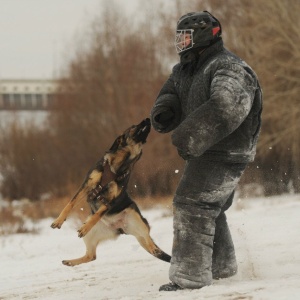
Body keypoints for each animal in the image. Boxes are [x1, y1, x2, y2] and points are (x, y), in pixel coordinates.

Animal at [50, 118, 170, 266]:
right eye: (133, 126)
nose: (148, 119)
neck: (117, 166)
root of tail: (121, 229)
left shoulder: (110, 201)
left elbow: (98, 214)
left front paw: (84, 227)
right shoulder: (86, 186)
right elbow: (70, 204)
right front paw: (58, 221)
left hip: (136, 218)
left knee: (148, 240)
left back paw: (155, 249)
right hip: (93, 235)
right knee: (91, 255)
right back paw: (70, 261)